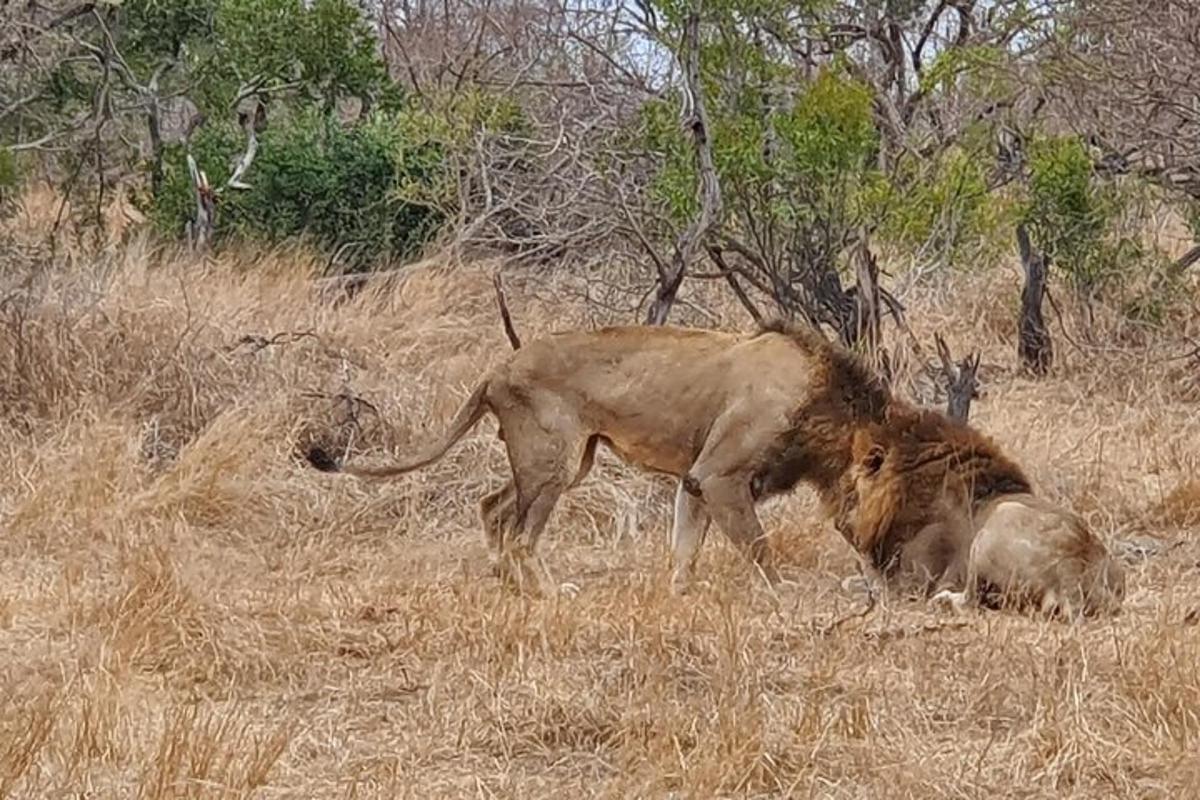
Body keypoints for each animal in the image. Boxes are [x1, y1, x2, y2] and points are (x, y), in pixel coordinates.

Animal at [835, 407, 1123, 618]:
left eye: (849, 485)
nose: (840, 523)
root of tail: (1071, 575)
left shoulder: (912, 581)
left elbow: (865, 584)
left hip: (995, 527)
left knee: (970, 600)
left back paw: (943, 600)